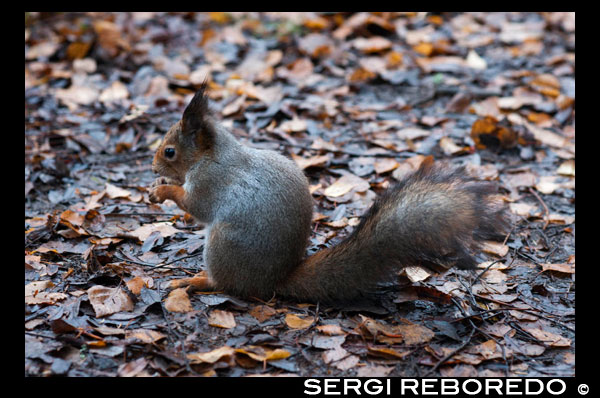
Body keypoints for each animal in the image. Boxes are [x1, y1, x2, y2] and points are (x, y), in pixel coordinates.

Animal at [148, 83, 508, 302]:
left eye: (170, 152)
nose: (152, 167)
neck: (212, 154)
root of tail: (272, 281)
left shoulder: (210, 181)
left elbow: (195, 205)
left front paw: (163, 191)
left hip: (223, 246)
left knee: (226, 284)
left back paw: (196, 281)